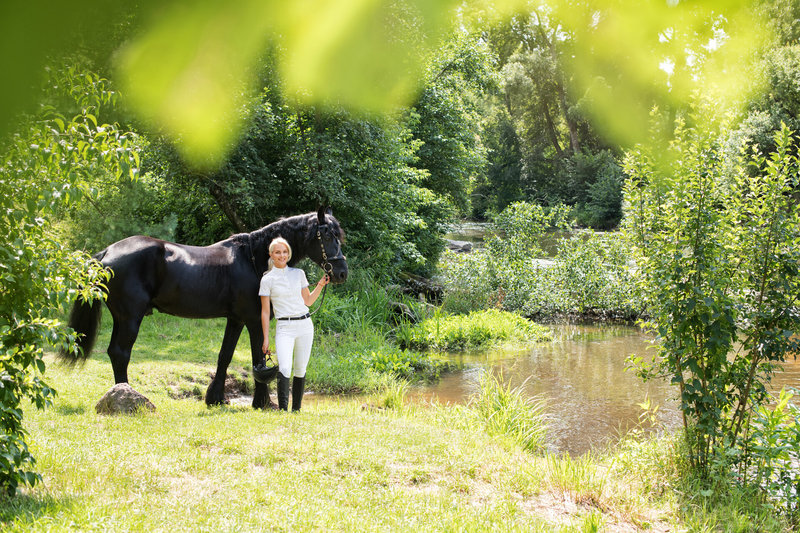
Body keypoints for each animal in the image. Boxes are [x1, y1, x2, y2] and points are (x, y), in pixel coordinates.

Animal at [61, 207, 348, 408]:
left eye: (339, 235)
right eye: (326, 235)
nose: (341, 273)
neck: (252, 259)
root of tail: (106, 253)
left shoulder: (236, 319)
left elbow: (224, 356)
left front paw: (215, 398)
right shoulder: (255, 319)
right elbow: (257, 357)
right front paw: (262, 402)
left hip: (121, 318)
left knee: (114, 352)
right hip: (130, 318)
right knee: (121, 353)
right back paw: (125, 395)